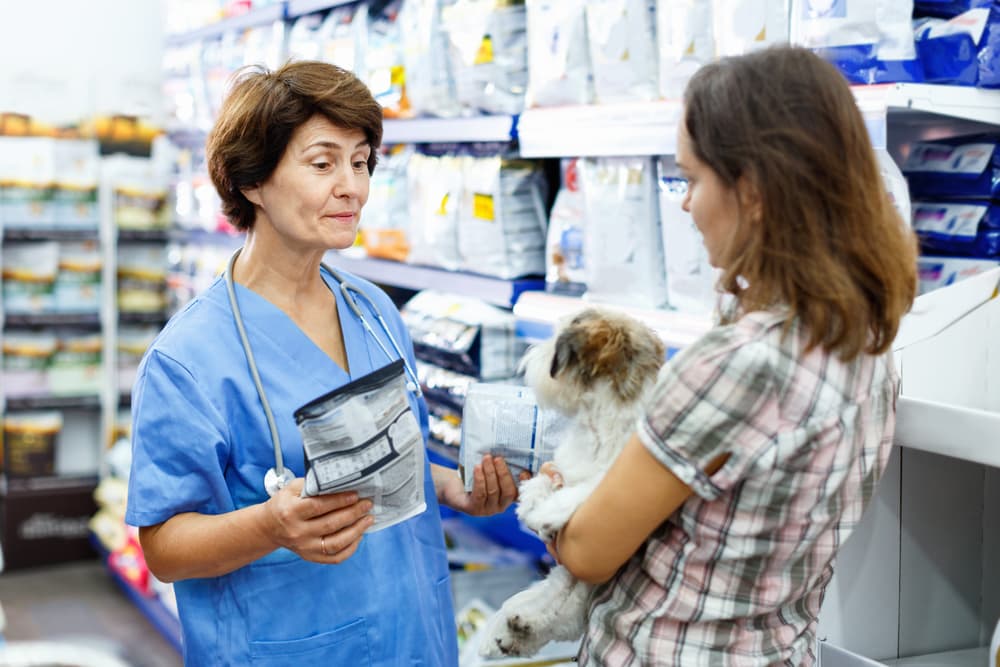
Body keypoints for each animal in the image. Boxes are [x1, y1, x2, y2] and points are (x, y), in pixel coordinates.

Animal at [482, 308, 668, 656]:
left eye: (556, 343)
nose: (530, 355)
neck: (598, 430)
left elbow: (587, 487)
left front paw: (546, 513)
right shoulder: (562, 467)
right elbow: (543, 480)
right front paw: (532, 505)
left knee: (565, 609)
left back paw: (522, 627)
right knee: (553, 598)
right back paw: (508, 629)